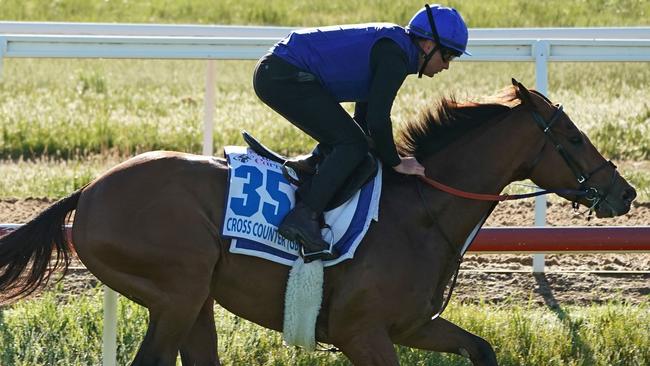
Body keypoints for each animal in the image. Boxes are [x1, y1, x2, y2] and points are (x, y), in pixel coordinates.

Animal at [0, 79, 636, 364]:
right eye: (573, 137)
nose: (624, 191)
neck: (421, 212)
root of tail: (88, 191)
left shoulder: (412, 325)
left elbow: (481, 349)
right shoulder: (363, 333)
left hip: (194, 299)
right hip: (176, 291)